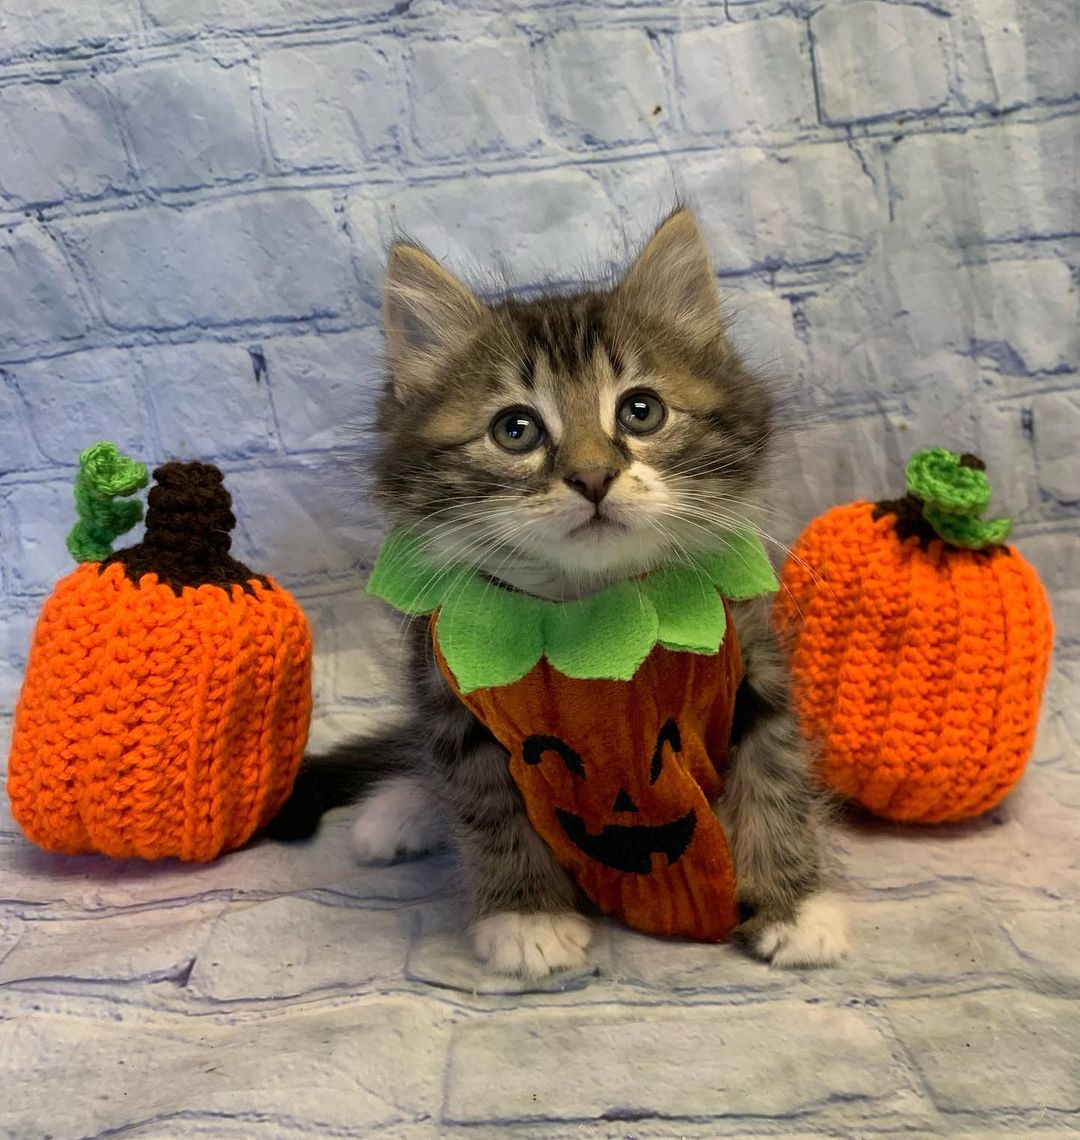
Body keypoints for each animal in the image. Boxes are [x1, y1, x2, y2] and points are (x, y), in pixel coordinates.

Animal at [265, 209, 848, 975]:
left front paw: (795, 906)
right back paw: (400, 811)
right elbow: (486, 805)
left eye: (640, 411)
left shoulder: (753, 664)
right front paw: (525, 917)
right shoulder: (455, 703)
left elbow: (776, 776)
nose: (593, 477)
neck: (597, 620)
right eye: (516, 430)